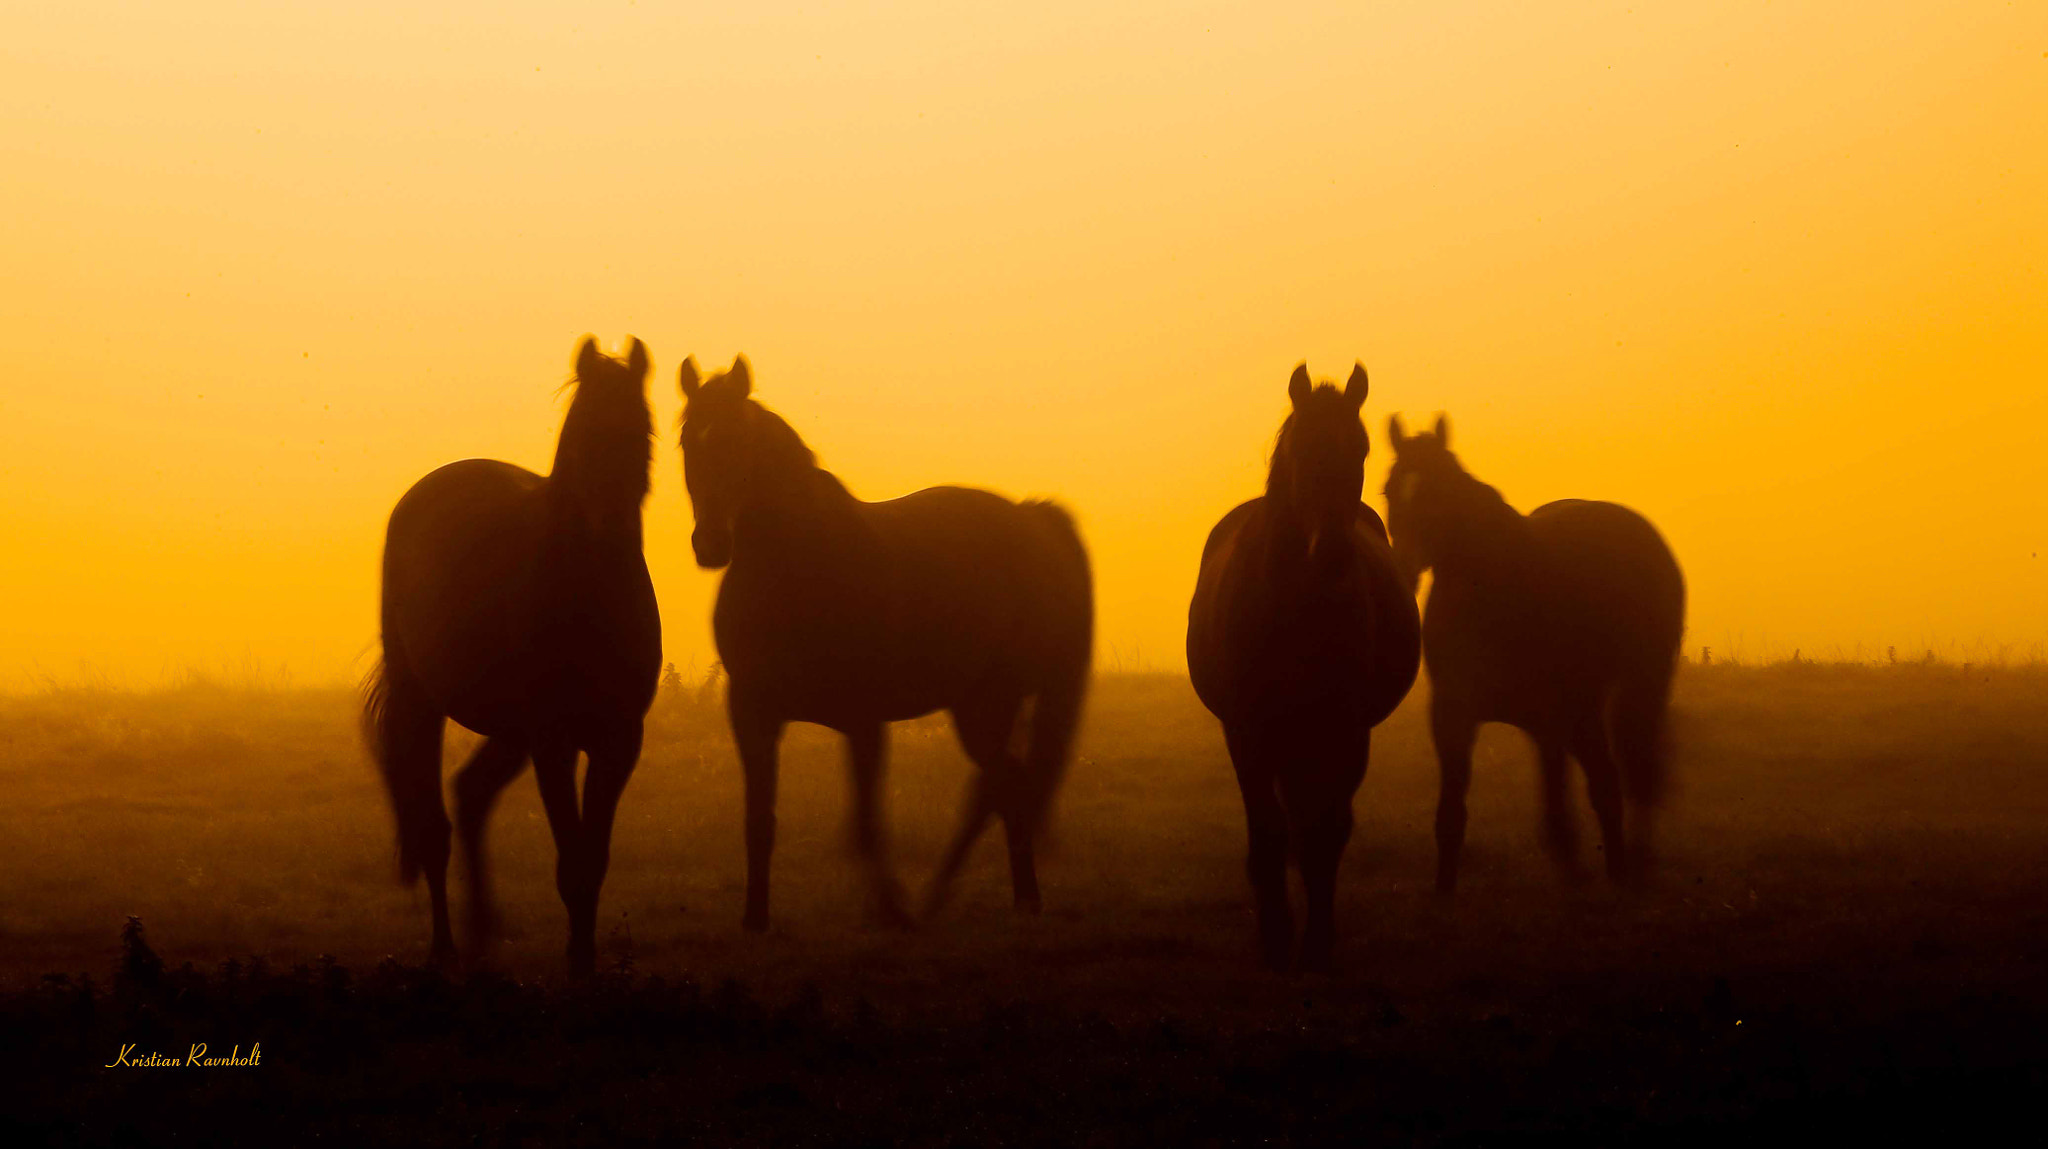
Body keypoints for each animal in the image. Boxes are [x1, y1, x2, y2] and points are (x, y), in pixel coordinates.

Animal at [360, 335, 659, 970]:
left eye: (643, 430)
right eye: (584, 431)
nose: (612, 527)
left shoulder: (618, 740)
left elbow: (593, 860)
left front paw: (585, 961)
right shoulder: (552, 740)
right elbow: (572, 862)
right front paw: (578, 966)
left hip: (510, 730)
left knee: (471, 795)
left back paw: (480, 935)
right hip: (423, 705)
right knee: (434, 828)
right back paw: (447, 950)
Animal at [675, 356, 1097, 933]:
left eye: (738, 438)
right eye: (687, 441)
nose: (712, 544)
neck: (798, 569)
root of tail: (1032, 517)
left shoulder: (863, 721)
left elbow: (867, 824)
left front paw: (891, 909)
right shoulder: (752, 713)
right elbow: (760, 820)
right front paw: (755, 919)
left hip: (991, 703)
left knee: (1000, 787)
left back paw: (961, 899)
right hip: (978, 704)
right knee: (1005, 787)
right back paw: (996, 897)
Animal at [1187, 360, 1425, 966]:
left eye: (1361, 448)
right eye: (1300, 449)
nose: (1334, 553)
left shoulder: (1346, 730)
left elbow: (1327, 829)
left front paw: (1318, 940)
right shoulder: (1247, 731)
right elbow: (1269, 832)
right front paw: (1276, 938)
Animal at [1384, 415, 1687, 892]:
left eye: (1441, 488)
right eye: (1391, 489)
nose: (1405, 568)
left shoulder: (1568, 714)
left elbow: (1596, 794)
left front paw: (1611, 881)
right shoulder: (1454, 716)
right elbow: (1451, 813)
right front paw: (1443, 893)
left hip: (1637, 689)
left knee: (1635, 775)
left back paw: (1633, 864)